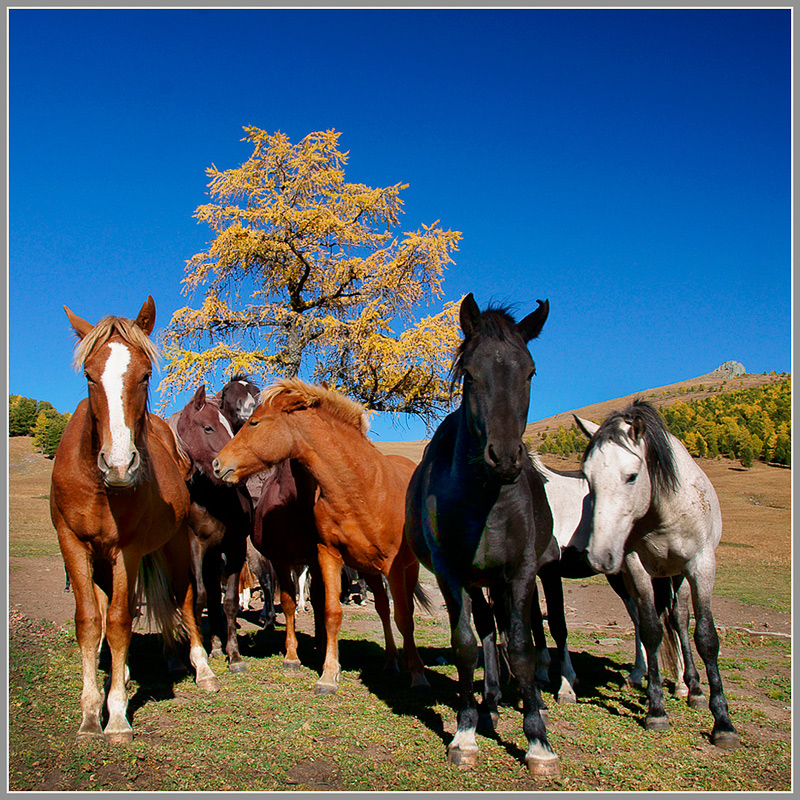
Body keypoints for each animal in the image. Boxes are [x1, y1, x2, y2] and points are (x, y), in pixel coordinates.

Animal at [50, 296, 219, 744]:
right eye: (89, 376)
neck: (98, 485)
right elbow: (91, 621)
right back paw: (122, 673)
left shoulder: (126, 550)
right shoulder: (72, 542)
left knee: (184, 598)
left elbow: (121, 621)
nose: (120, 465)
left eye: (144, 376)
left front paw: (117, 716)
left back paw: (201, 669)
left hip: (173, 546)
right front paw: (91, 712)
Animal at [170, 384, 253, 672]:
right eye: (208, 427)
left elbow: (228, 602)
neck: (216, 500)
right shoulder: (194, 546)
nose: (231, 466)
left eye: (231, 428)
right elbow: (199, 599)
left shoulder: (235, 548)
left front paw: (234, 655)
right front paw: (198, 652)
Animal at [209, 378, 428, 696]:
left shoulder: (395, 566)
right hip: (368, 569)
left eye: (254, 422)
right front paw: (327, 675)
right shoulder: (328, 555)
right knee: (382, 609)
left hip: (406, 569)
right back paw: (390, 663)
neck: (360, 486)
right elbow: (331, 612)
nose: (217, 463)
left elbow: (405, 617)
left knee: (400, 611)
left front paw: (419, 675)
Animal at [404, 292, 560, 776]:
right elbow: (466, 646)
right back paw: (487, 704)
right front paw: (465, 732)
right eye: (470, 374)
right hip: (477, 580)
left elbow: (523, 648)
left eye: (530, 372)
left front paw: (538, 741)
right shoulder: (451, 573)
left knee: (507, 633)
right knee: (487, 632)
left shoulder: (521, 571)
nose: (505, 457)